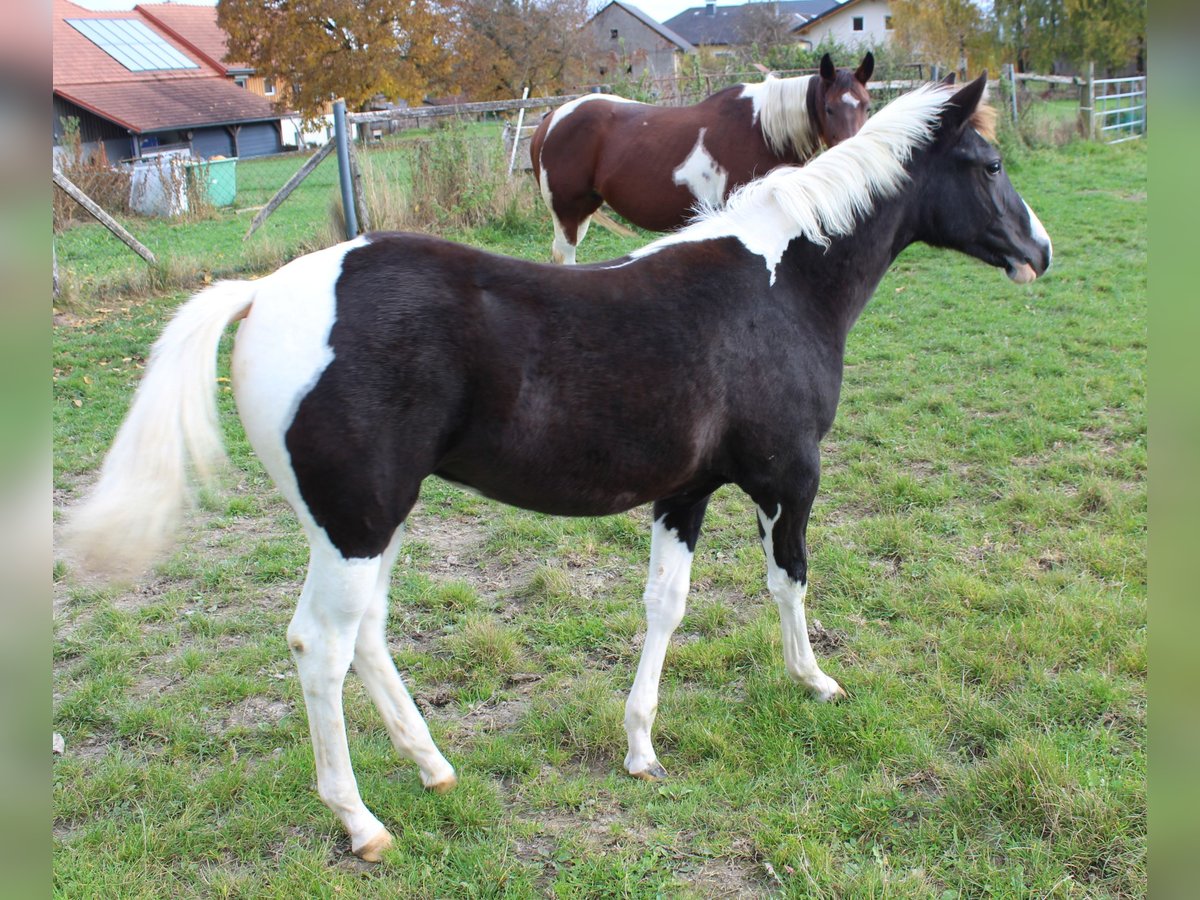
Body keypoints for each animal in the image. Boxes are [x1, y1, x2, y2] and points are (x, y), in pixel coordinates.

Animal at [530, 52, 874, 264]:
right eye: (828, 108)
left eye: (866, 104)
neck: (762, 130)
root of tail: (550, 120)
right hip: (566, 212)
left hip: (584, 209)